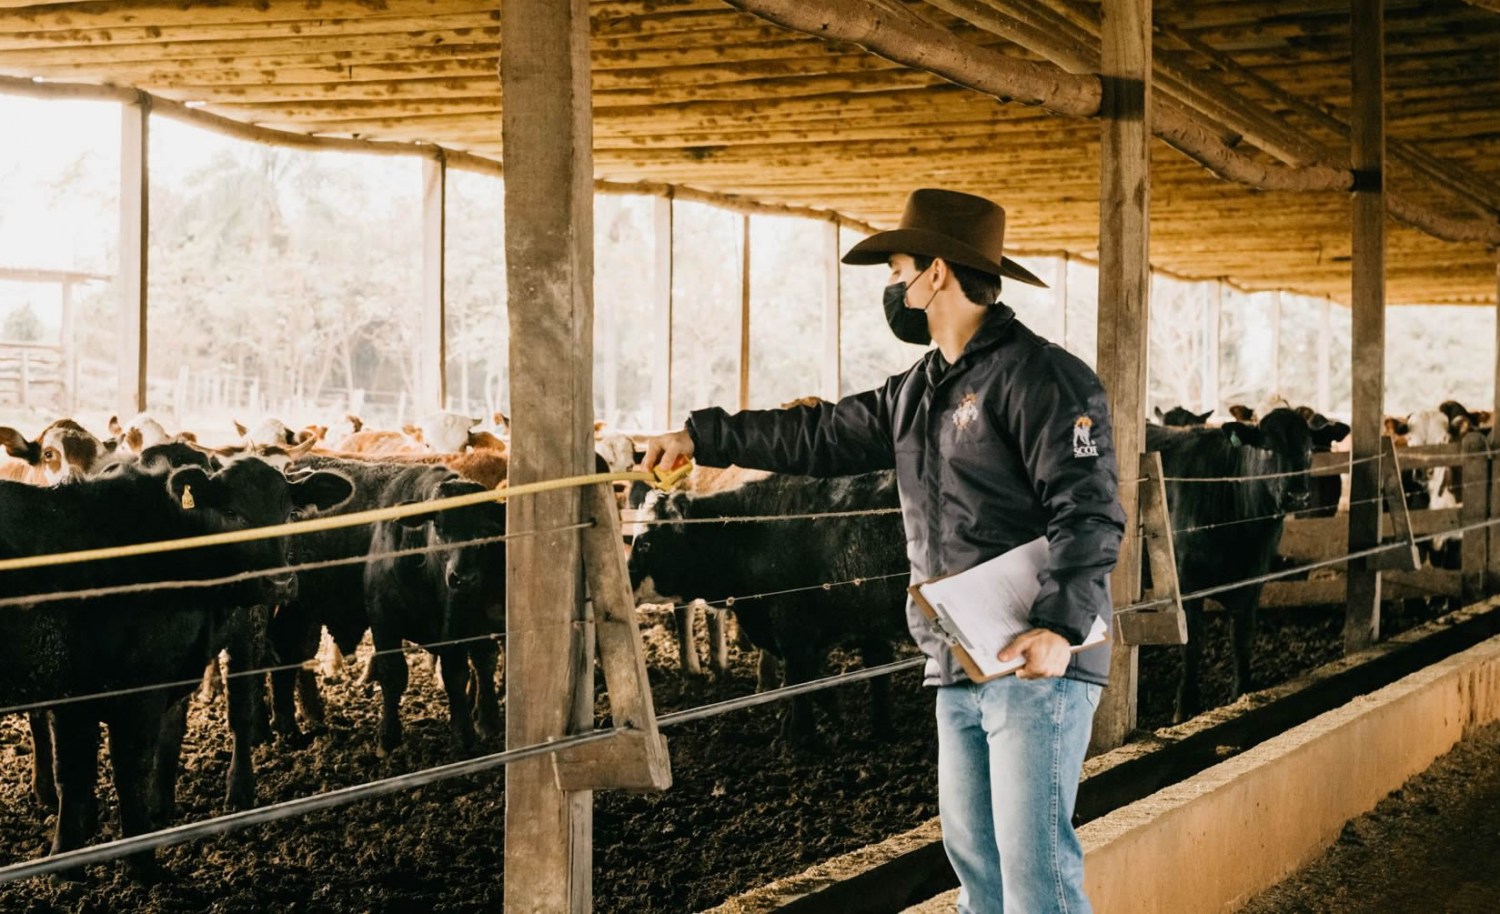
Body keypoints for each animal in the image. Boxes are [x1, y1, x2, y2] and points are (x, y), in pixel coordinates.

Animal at [0, 459, 351, 870]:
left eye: (291, 514)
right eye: (231, 513)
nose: (279, 583)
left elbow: (79, 771)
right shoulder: (124, 687)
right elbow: (116, 768)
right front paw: (136, 862)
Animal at [630, 471, 906, 741]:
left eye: (645, 543)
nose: (627, 582)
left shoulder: (793, 633)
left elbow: (800, 681)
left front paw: (800, 735)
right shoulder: (867, 630)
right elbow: (873, 677)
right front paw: (880, 729)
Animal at [1146, 411, 1314, 720]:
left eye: (1310, 450)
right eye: (1268, 448)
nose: (1298, 496)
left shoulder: (1252, 582)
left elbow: (1241, 638)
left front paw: (1241, 692)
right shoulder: (1186, 584)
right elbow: (1192, 644)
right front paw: (1185, 708)